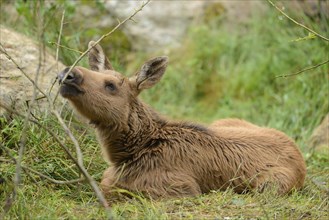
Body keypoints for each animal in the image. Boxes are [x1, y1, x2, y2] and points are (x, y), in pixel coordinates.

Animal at [58, 40, 304, 198]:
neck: (129, 153)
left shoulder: (180, 189)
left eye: (110, 85)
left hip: (272, 186)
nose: (68, 74)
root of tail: (298, 153)